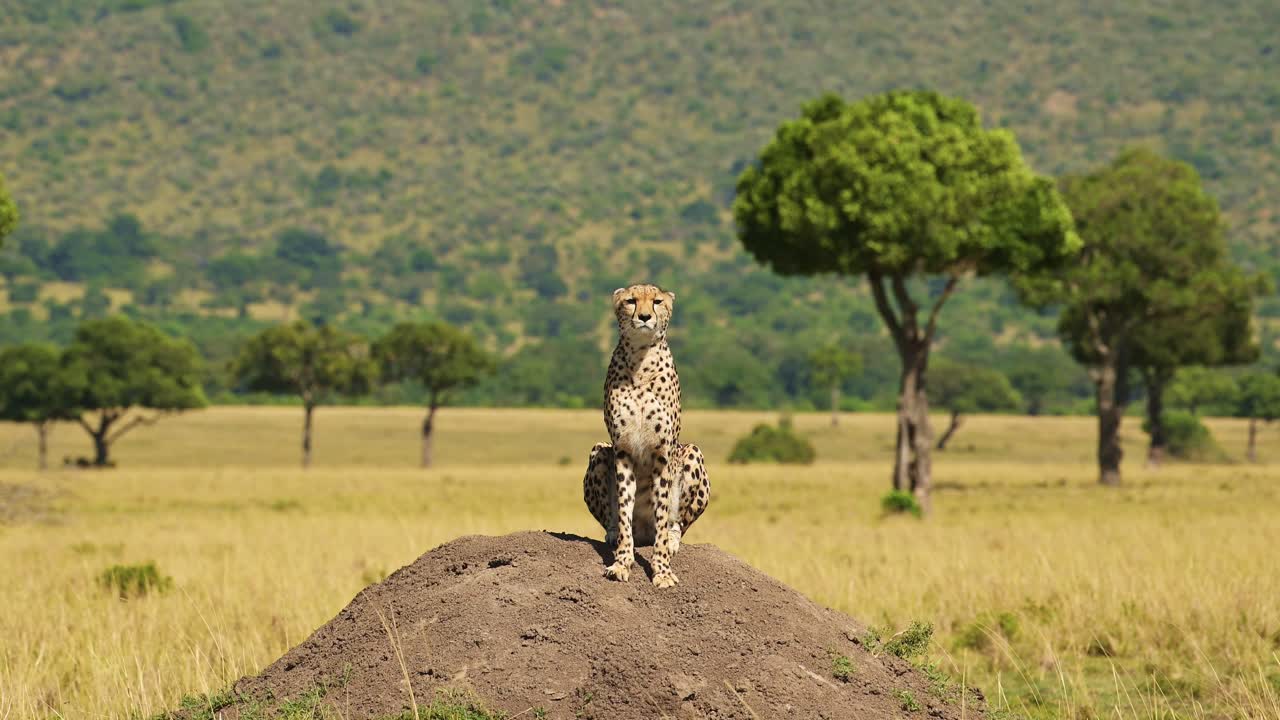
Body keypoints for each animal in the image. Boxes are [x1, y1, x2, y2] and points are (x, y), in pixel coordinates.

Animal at [581, 283, 710, 589]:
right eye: (631, 301)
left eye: (657, 301)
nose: (643, 317)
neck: (641, 360)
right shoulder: (623, 450)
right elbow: (624, 508)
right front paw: (621, 562)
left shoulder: (662, 453)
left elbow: (662, 515)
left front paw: (661, 570)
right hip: (599, 451)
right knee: (615, 518)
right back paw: (613, 533)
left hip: (692, 453)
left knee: (676, 524)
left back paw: (673, 540)